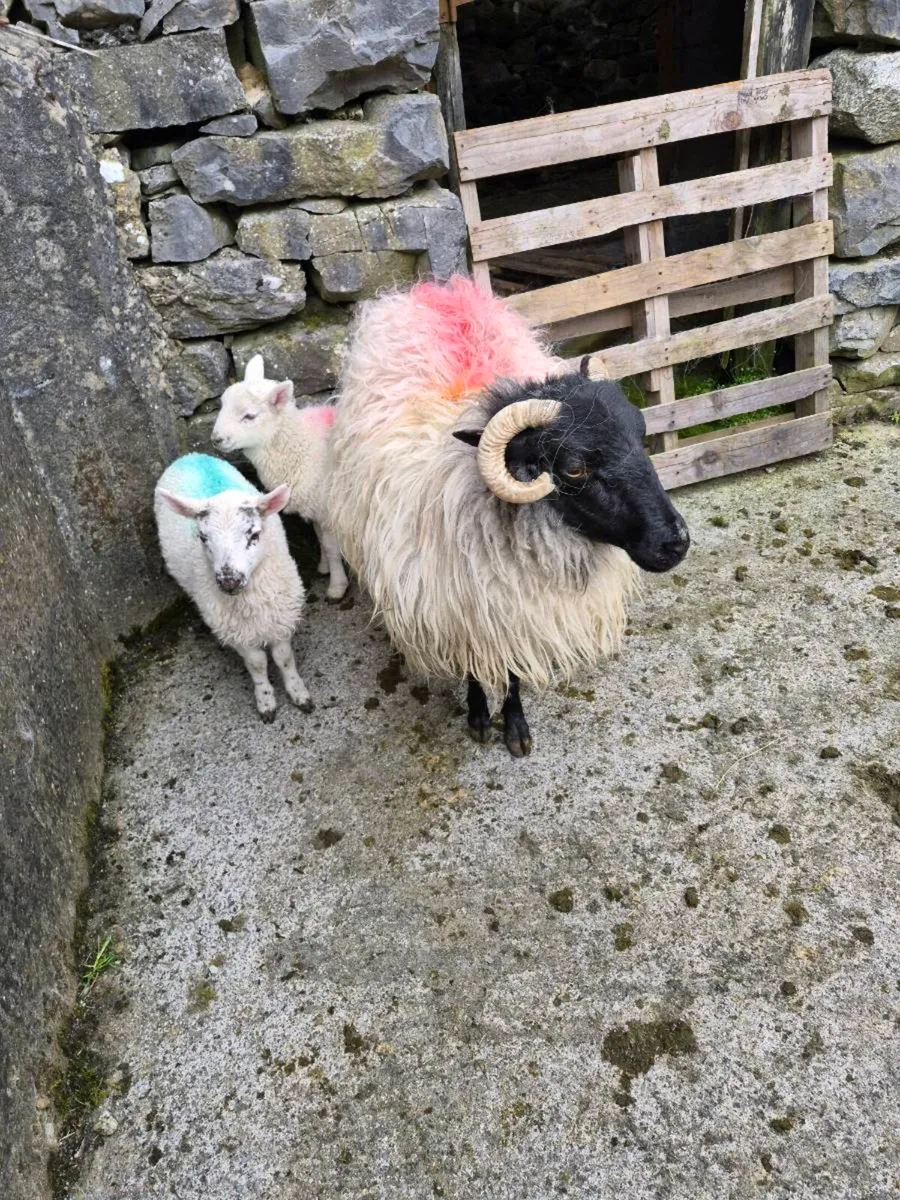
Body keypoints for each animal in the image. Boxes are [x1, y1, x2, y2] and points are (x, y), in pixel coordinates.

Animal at [154, 453, 313, 721]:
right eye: (203, 537)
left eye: (254, 535)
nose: (229, 579)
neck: (250, 605)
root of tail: (189, 456)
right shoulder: (238, 633)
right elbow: (257, 665)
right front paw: (266, 701)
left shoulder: (280, 619)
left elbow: (284, 658)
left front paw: (298, 692)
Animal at [211, 356, 349, 601]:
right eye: (223, 404)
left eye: (250, 416)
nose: (216, 439)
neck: (303, 445)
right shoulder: (314, 506)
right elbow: (320, 539)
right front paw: (324, 567)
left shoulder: (327, 508)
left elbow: (331, 546)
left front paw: (337, 586)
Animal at [328, 276, 690, 756]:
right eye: (574, 468)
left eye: (640, 435)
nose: (677, 542)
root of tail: (435, 288)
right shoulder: (462, 609)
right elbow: (474, 670)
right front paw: (480, 717)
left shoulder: (514, 609)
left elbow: (513, 675)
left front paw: (515, 726)